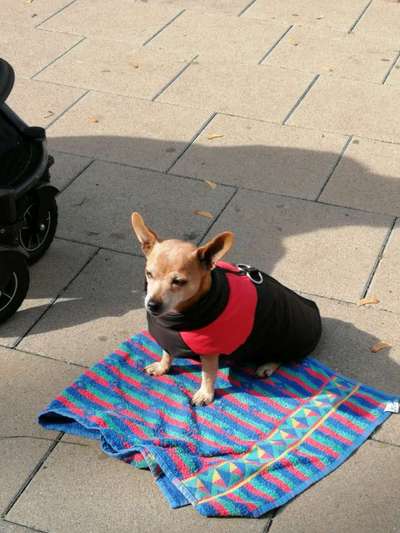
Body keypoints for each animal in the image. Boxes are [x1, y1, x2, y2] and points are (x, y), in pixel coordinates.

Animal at [131, 211, 322, 404]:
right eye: (148, 274)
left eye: (179, 281)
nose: (152, 305)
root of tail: (313, 309)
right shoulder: (168, 338)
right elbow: (167, 352)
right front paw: (163, 367)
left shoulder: (209, 352)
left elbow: (208, 374)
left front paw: (205, 394)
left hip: (280, 340)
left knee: (282, 357)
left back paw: (268, 365)